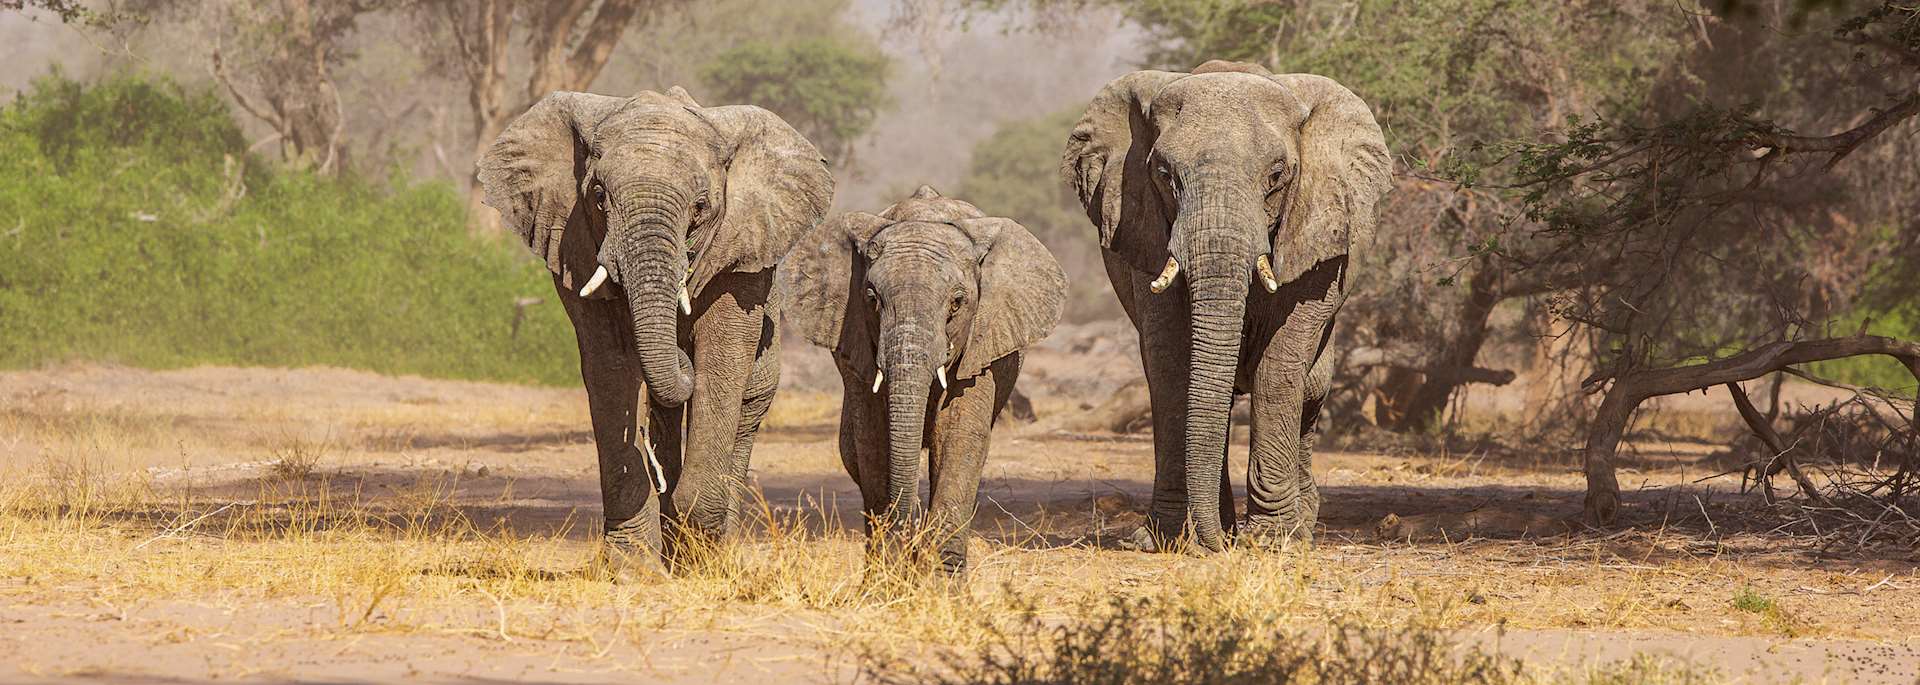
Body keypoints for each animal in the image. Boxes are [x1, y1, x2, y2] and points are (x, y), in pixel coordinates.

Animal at [476, 86, 833, 569]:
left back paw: (710, 550)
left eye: (701, 207)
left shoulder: (740, 251)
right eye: (599, 196)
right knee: (664, 416)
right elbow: (609, 366)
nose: (681, 351)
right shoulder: (573, 244)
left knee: (747, 409)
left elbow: (722, 357)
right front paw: (633, 568)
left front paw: (697, 555)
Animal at [779, 186, 1065, 574]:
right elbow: (872, 436)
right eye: (871, 299)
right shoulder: (856, 343)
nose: (909, 540)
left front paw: (940, 580)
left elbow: (959, 433)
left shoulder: (982, 343)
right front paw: (888, 575)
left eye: (957, 303)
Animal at [1061, 60, 1391, 552]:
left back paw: (1296, 525)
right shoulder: (1146, 232)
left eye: (1277, 176)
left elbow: (1280, 366)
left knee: (1312, 388)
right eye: (1163, 174)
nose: (1218, 545)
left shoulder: (1312, 231)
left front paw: (1275, 541)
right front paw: (1166, 539)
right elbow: (1172, 362)